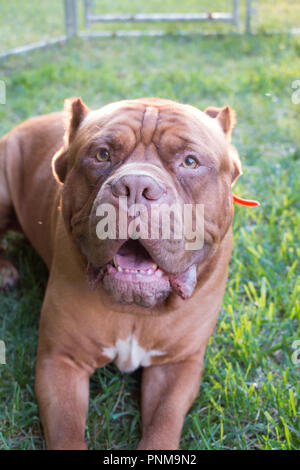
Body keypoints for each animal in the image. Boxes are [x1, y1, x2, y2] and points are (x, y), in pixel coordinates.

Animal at [0, 97, 241, 450]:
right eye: (102, 155)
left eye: (190, 161)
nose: (137, 186)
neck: (135, 309)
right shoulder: (60, 361)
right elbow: (67, 432)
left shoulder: (176, 367)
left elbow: (163, 426)